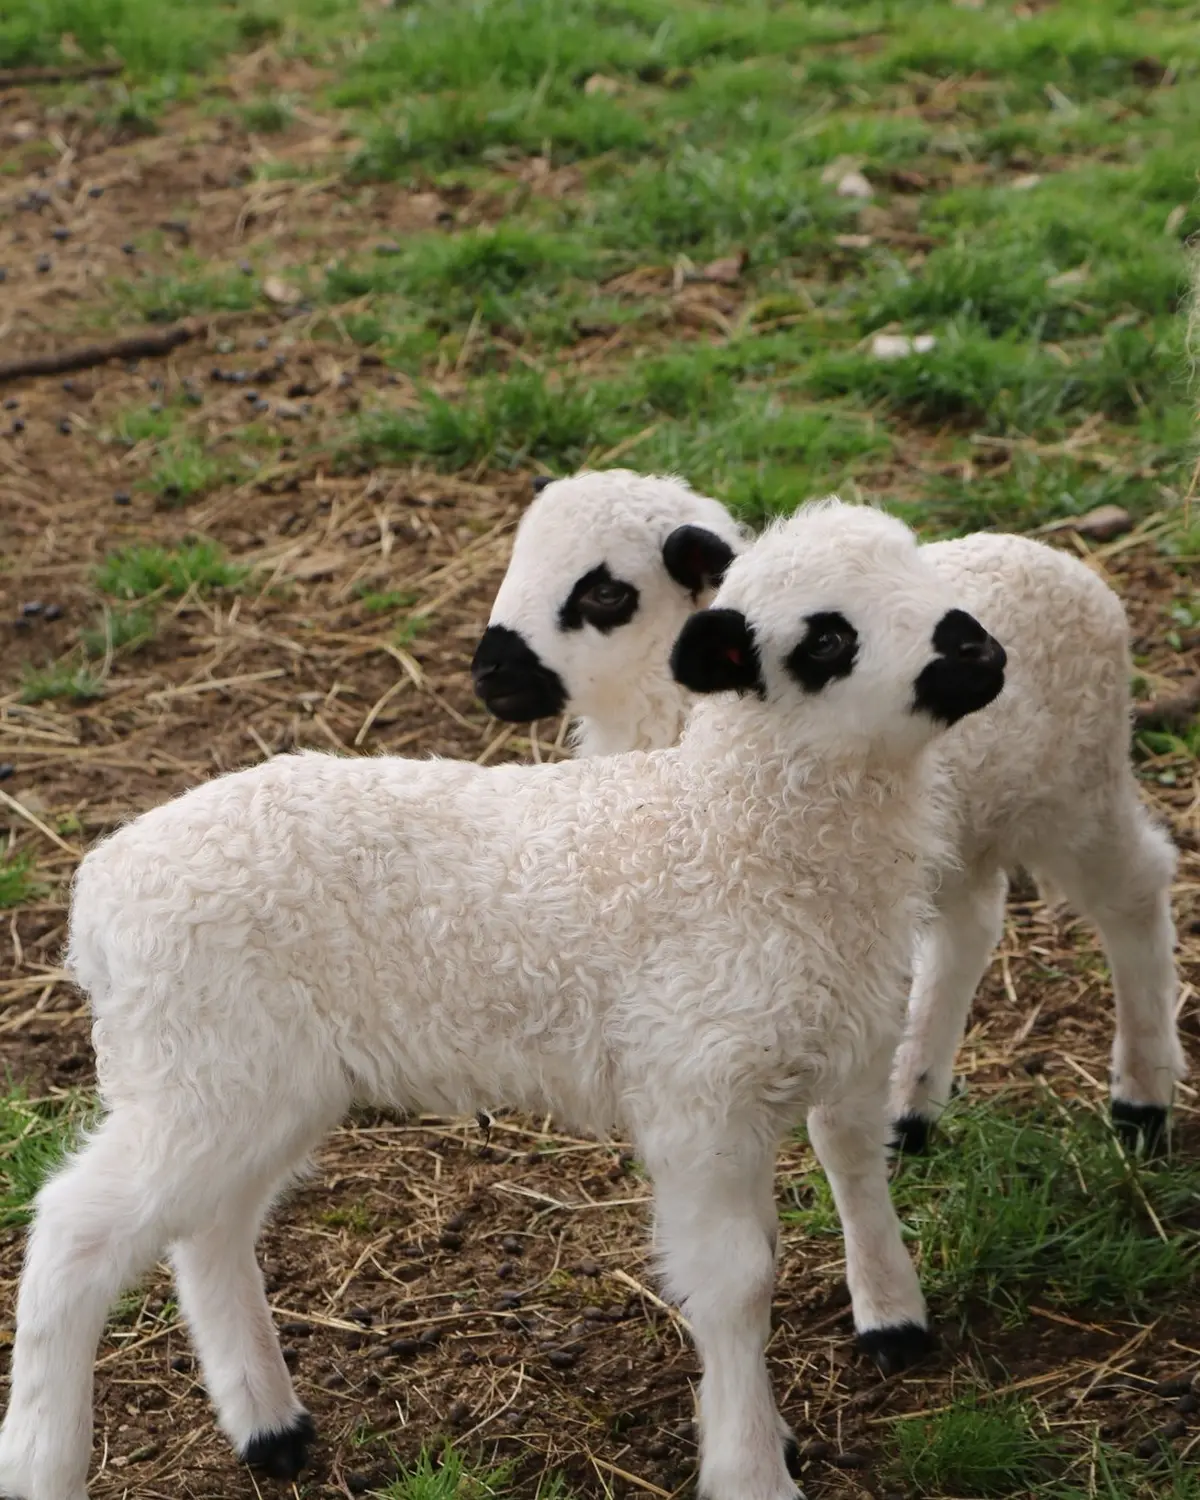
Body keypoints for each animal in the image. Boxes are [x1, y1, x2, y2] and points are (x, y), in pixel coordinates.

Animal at [0, 499, 1007, 1500]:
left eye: (922, 571)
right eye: (827, 637)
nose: (980, 648)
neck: (728, 830)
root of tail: (99, 895)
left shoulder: (807, 1060)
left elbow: (814, 1201)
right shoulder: (697, 1094)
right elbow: (736, 1284)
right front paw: (751, 1468)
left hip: (250, 1083)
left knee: (210, 1232)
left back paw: (269, 1426)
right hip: (198, 1071)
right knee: (73, 1234)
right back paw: (46, 1461)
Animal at [474, 470, 1183, 1155]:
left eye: (605, 593)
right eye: (517, 559)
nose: (488, 671)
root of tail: (1051, 556)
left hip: (1079, 785)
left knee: (1134, 890)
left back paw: (1142, 1100)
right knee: (969, 929)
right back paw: (912, 1110)